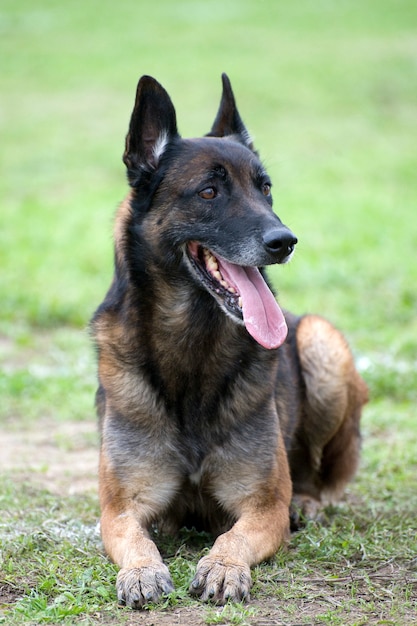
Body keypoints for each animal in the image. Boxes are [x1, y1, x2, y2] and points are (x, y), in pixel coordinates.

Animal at [89, 72, 366, 604]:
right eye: (209, 192)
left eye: (266, 188)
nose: (285, 241)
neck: (192, 351)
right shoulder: (121, 506)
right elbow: (135, 538)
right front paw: (142, 571)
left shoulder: (262, 506)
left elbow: (231, 536)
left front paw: (222, 566)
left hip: (321, 342)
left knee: (321, 476)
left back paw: (308, 501)